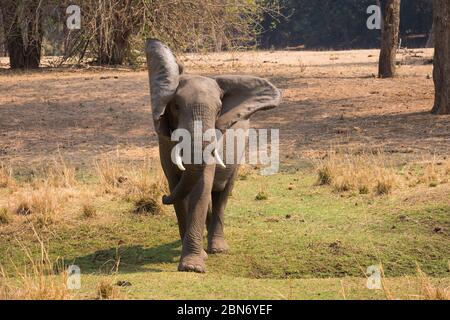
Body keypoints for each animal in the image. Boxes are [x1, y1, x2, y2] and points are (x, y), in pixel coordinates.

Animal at [145, 39, 282, 272]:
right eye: (176, 106)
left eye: (219, 110)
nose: (162, 198)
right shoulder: (164, 141)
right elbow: (177, 186)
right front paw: (196, 259)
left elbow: (201, 186)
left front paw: (192, 266)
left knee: (222, 194)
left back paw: (217, 248)